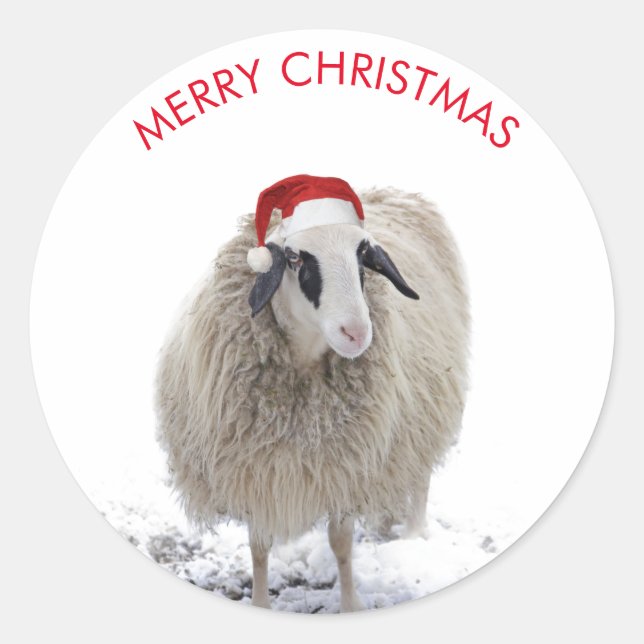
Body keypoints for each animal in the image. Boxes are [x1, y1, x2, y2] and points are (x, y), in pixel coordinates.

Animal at [154, 181, 470, 611]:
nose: (357, 333)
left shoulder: (346, 466)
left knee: (420, 474)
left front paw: (351, 606)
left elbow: (341, 544)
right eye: (294, 257)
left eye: (363, 254)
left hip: (426, 410)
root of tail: (389, 190)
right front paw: (260, 605)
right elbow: (259, 548)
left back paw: (414, 534)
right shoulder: (254, 470)